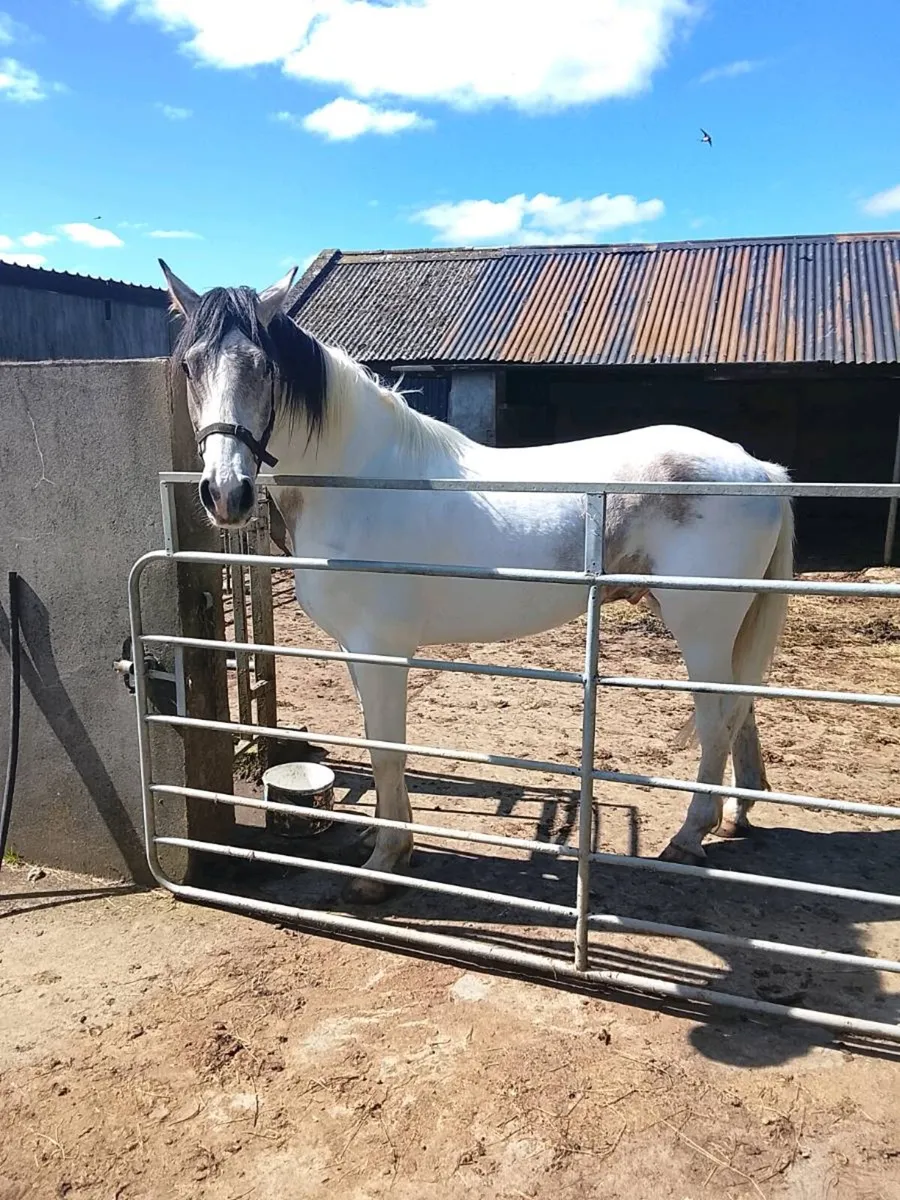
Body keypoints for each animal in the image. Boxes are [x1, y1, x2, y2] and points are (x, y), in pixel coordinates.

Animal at [160, 260, 794, 905]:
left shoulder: (380, 648)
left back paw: (690, 836)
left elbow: (386, 748)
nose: (226, 494)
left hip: (701, 626)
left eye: (263, 367)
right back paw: (735, 816)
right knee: (740, 709)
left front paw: (383, 866)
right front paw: (386, 844)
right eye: (189, 367)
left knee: (717, 718)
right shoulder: (355, 649)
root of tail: (759, 469)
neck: (363, 482)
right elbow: (377, 739)